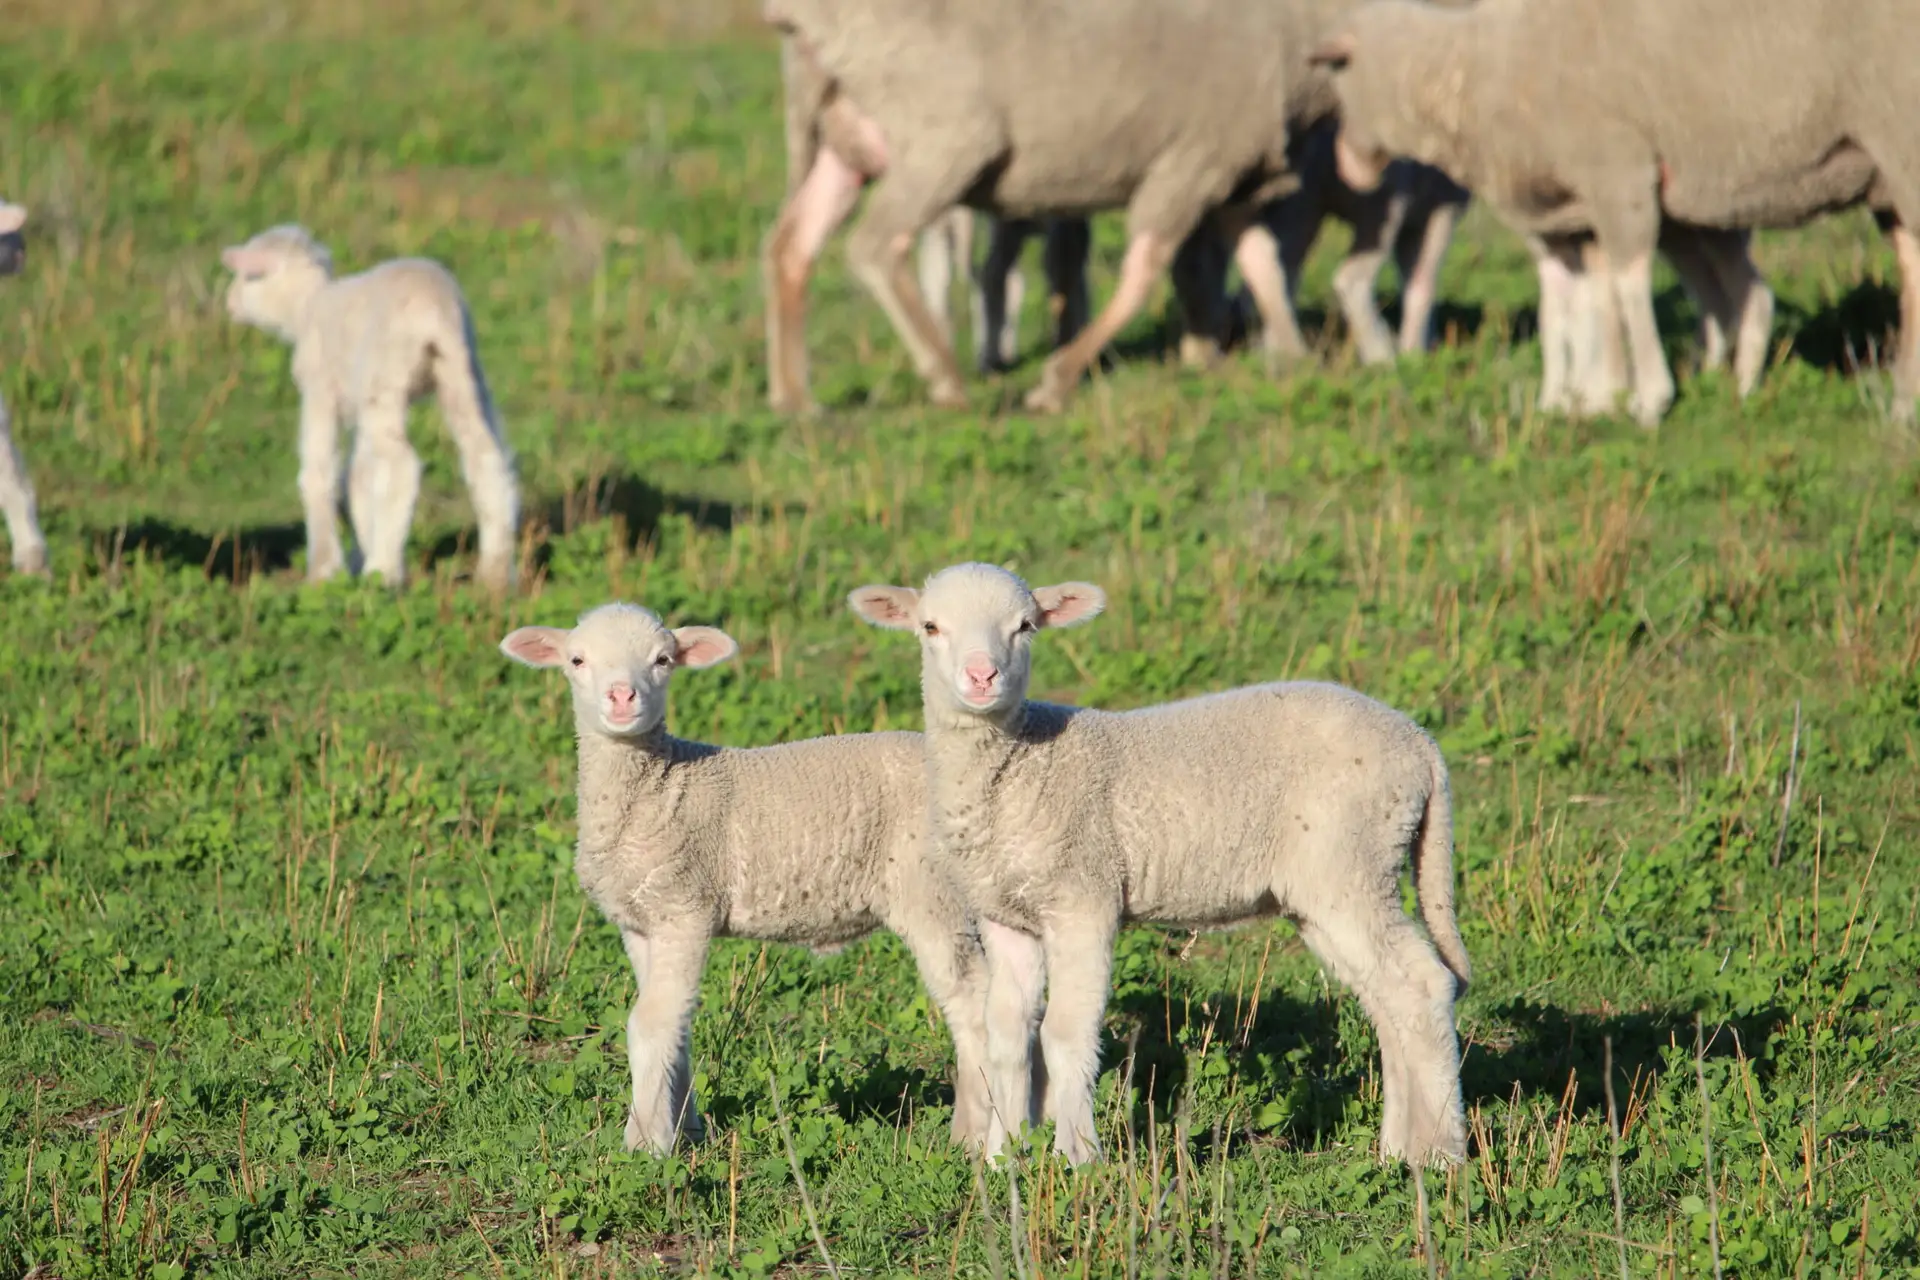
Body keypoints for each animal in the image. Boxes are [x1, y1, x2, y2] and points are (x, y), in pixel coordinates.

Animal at [220, 225, 520, 590]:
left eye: (248, 277)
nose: (230, 302)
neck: (306, 307)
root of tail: (433, 309)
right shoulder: (359, 406)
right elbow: (359, 478)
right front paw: (355, 555)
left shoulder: (320, 390)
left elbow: (319, 473)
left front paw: (324, 569)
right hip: (461, 372)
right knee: (484, 455)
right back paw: (495, 574)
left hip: (386, 378)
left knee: (401, 466)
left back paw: (383, 572)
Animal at [499, 602, 1002, 1154]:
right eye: (577, 660)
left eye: (662, 660)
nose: (621, 696)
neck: (660, 785)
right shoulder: (641, 923)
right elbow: (675, 1023)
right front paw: (685, 1129)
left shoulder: (685, 906)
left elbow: (649, 1024)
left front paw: (644, 1144)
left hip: (930, 891)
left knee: (971, 1003)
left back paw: (975, 1136)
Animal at [761, 0, 1359, 413]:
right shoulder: (1197, 160)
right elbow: (1150, 268)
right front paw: (1059, 379)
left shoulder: (1223, 167)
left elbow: (1255, 258)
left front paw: (1288, 357)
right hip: (943, 139)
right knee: (876, 244)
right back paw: (948, 378)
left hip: (846, 143)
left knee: (794, 242)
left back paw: (795, 398)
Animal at [849, 563, 1471, 1169]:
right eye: (930, 627)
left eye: (1025, 626)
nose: (982, 676)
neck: (1018, 765)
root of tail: (1421, 745)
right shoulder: (1007, 914)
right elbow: (1006, 1034)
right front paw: (1004, 1158)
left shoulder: (1084, 896)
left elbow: (1066, 1034)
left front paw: (1079, 1158)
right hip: (1329, 886)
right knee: (1388, 1000)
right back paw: (1399, 1151)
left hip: (1353, 860)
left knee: (1422, 984)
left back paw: (1444, 1154)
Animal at [1310, 0, 1918, 425]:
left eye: (1337, 82)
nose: (1345, 166)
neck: (1479, 71)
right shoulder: (1561, 215)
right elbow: (1563, 303)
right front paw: (1565, 400)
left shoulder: (1617, 172)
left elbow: (1626, 287)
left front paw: (1645, 398)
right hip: (1877, 174)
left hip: (1897, 131)